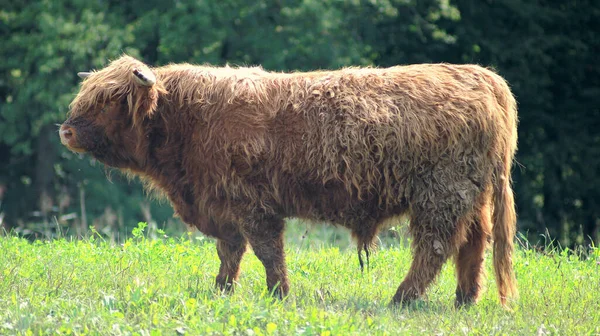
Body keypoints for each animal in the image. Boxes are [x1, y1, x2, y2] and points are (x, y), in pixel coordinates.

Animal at [62, 55, 520, 308]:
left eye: (109, 100)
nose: (65, 130)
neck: (186, 120)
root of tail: (481, 76)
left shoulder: (251, 204)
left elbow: (267, 252)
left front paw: (278, 295)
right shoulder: (222, 207)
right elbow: (230, 253)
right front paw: (221, 291)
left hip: (440, 195)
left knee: (435, 249)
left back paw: (401, 300)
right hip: (470, 197)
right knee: (473, 245)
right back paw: (464, 300)